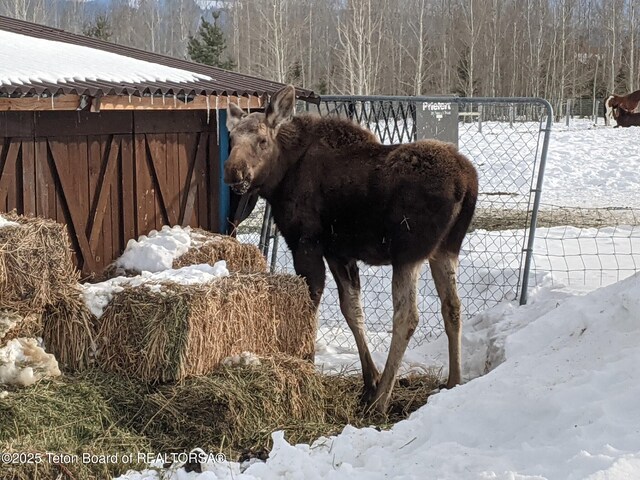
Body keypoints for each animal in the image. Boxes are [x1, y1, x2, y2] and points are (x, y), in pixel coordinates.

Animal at [222, 86, 478, 412]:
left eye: (262, 140)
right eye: (232, 139)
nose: (234, 172)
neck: (280, 177)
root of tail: (467, 184)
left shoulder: (306, 242)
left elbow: (312, 303)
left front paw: (309, 363)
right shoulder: (339, 252)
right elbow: (352, 310)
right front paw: (368, 381)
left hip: (408, 252)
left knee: (407, 316)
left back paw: (382, 400)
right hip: (446, 248)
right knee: (452, 307)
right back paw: (452, 382)